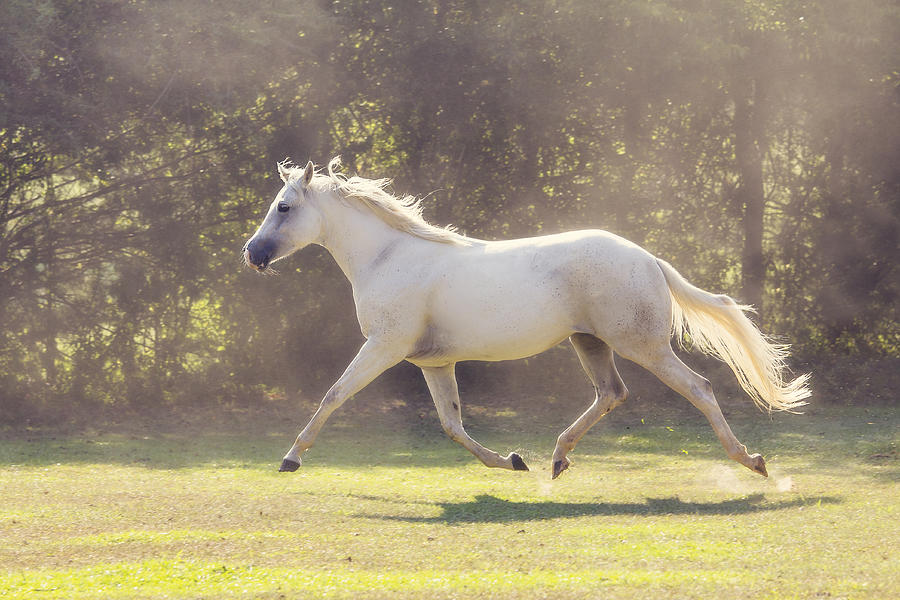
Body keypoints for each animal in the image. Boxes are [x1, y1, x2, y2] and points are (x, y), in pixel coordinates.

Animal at [243, 157, 812, 480]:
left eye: (284, 207)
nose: (252, 254)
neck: (387, 256)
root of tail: (647, 258)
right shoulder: (432, 363)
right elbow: (452, 424)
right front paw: (512, 461)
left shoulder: (383, 347)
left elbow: (334, 395)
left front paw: (291, 459)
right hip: (589, 342)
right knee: (612, 394)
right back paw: (556, 460)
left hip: (642, 344)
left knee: (699, 389)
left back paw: (751, 461)